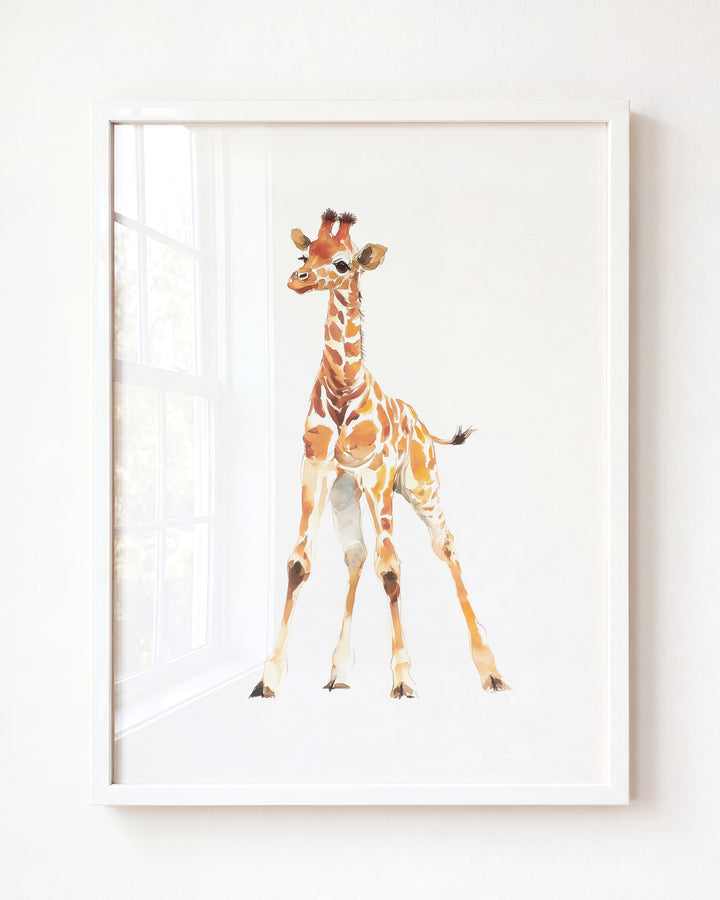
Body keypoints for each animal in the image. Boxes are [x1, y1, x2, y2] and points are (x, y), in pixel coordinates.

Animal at [250, 209, 509, 699]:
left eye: (342, 263)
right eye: (305, 254)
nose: (297, 279)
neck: (342, 388)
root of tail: (423, 425)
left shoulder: (376, 476)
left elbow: (391, 569)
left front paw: (404, 679)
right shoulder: (317, 469)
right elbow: (299, 563)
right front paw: (267, 678)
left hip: (420, 486)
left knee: (444, 545)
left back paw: (491, 671)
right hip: (346, 495)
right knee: (356, 554)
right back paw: (338, 673)